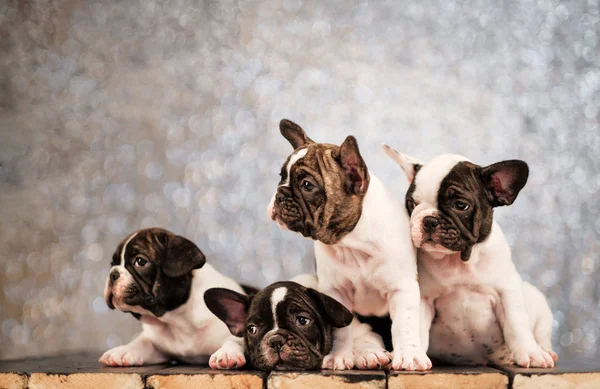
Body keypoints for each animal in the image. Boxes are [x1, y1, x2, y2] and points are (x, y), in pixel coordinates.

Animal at [99, 229, 253, 368]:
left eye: (140, 261)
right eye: (112, 264)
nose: (113, 273)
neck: (176, 320)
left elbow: (235, 340)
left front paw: (226, 354)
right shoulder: (157, 347)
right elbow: (141, 342)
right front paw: (123, 351)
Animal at [205, 272, 390, 370]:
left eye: (302, 320)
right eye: (252, 329)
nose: (275, 340)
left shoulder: (365, 330)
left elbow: (361, 339)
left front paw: (368, 353)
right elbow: (234, 340)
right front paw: (226, 353)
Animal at [264, 120, 428, 370]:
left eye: (306, 185)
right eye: (281, 177)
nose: (279, 194)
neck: (353, 242)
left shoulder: (402, 288)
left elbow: (404, 325)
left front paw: (409, 355)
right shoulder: (335, 292)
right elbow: (342, 330)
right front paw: (339, 356)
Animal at [384, 146, 556, 366]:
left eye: (460, 205)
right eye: (412, 204)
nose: (429, 220)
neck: (458, 261)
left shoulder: (506, 292)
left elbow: (516, 324)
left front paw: (530, 352)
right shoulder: (424, 299)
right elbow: (417, 328)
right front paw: (414, 355)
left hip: (538, 303)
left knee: (541, 333)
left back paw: (543, 350)